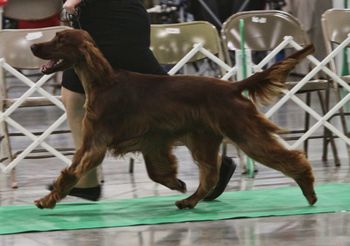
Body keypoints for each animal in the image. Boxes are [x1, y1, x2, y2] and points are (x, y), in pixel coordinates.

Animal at [30, 29, 318, 209]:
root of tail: (232, 87)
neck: (103, 83)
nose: (33, 46)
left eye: (60, 39)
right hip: (203, 138)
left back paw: (309, 191)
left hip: (244, 133)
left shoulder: (95, 143)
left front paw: (47, 201)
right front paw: (176, 183)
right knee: (210, 175)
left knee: (291, 158)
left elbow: (70, 173)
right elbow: (157, 170)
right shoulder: (152, 139)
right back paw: (189, 201)